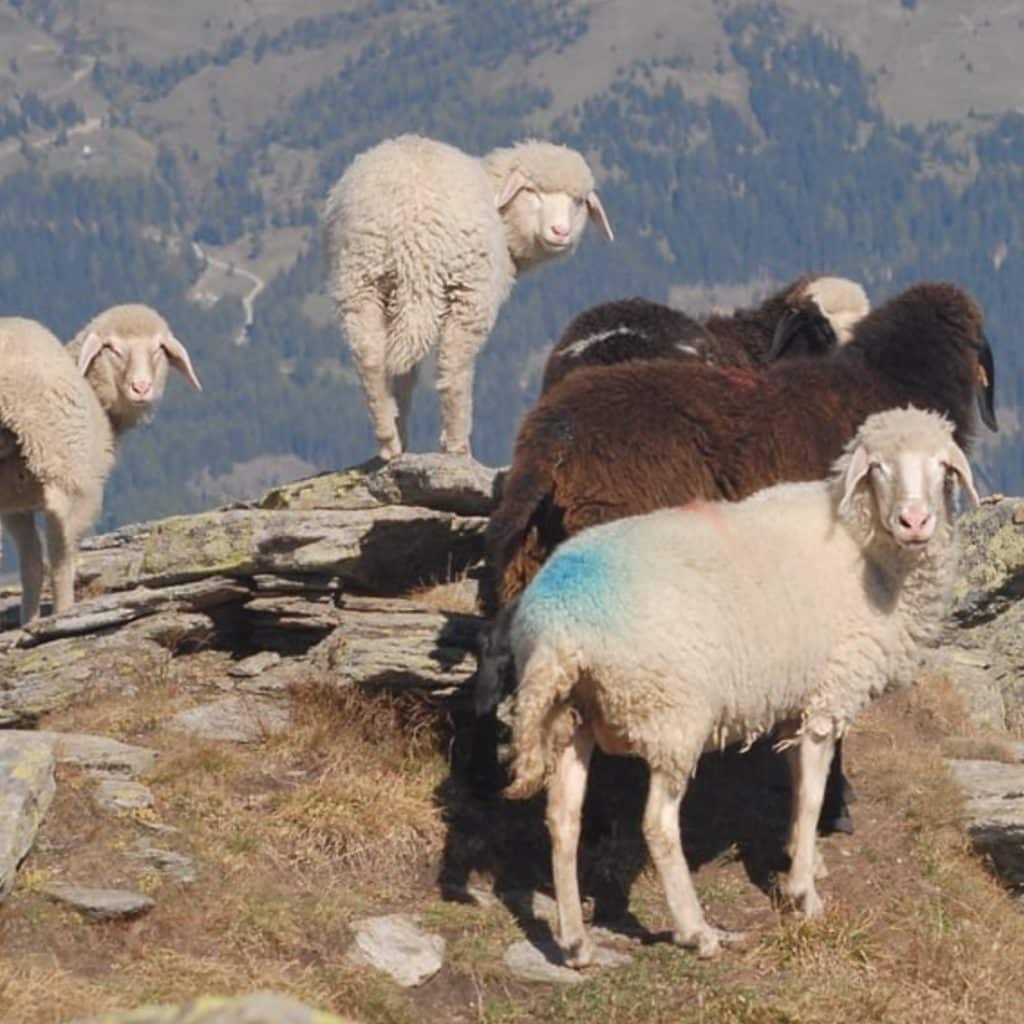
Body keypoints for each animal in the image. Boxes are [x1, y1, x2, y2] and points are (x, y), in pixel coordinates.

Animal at [1, 303, 202, 622]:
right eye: (113, 349)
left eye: (158, 349)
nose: (141, 387)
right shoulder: (80, 488)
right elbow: (57, 559)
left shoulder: (14, 503)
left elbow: (31, 566)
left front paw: (27, 623)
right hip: (59, 457)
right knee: (61, 553)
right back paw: (65, 611)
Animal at [323, 133, 610, 460]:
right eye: (532, 191)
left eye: (578, 202)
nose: (560, 231)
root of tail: (411, 232)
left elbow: (405, 375)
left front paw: (401, 432)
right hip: (468, 291)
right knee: (453, 366)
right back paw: (457, 445)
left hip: (360, 277)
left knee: (371, 356)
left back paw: (389, 441)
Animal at [507, 407, 978, 966]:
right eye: (878, 468)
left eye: (943, 467)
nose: (916, 522)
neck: (864, 547)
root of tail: (560, 627)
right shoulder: (829, 694)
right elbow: (813, 794)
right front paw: (803, 895)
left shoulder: (797, 699)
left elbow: (796, 787)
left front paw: (802, 859)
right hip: (673, 714)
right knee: (657, 825)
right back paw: (696, 931)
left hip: (570, 715)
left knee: (563, 821)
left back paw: (576, 941)